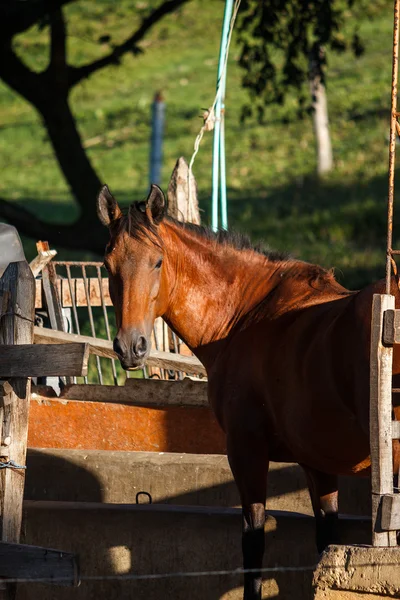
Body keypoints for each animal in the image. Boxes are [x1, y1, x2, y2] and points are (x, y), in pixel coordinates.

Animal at [97, 185, 400, 596]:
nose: (131, 346)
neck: (247, 314)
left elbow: (253, 542)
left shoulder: (246, 451)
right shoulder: (318, 464)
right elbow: (326, 539)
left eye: (157, 262)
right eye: (107, 264)